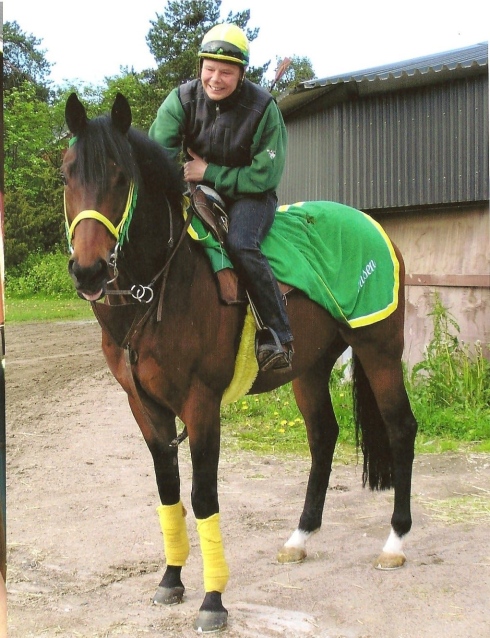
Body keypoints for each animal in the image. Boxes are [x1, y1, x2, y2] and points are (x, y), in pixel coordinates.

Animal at [62, 91, 418, 636]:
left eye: (121, 178)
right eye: (67, 175)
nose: (89, 270)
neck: (164, 286)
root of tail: (374, 227)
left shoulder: (201, 404)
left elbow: (204, 498)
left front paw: (213, 600)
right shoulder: (145, 407)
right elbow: (169, 491)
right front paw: (171, 579)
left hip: (380, 350)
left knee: (400, 428)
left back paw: (395, 542)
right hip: (309, 369)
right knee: (323, 436)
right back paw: (300, 537)